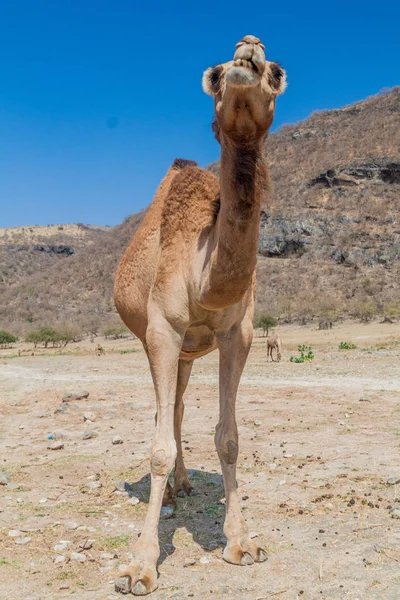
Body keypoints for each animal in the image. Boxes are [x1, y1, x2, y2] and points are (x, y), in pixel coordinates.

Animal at [114, 35, 286, 592]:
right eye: (214, 74)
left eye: (277, 72)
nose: (248, 49)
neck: (201, 268)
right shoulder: (162, 331)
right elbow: (158, 446)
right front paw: (140, 566)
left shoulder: (240, 334)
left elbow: (228, 438)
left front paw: (241, 542)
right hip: (155, 342)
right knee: (163, 413)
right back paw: (170, 492)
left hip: (191, 353)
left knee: (179, 407)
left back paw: (185, 486)